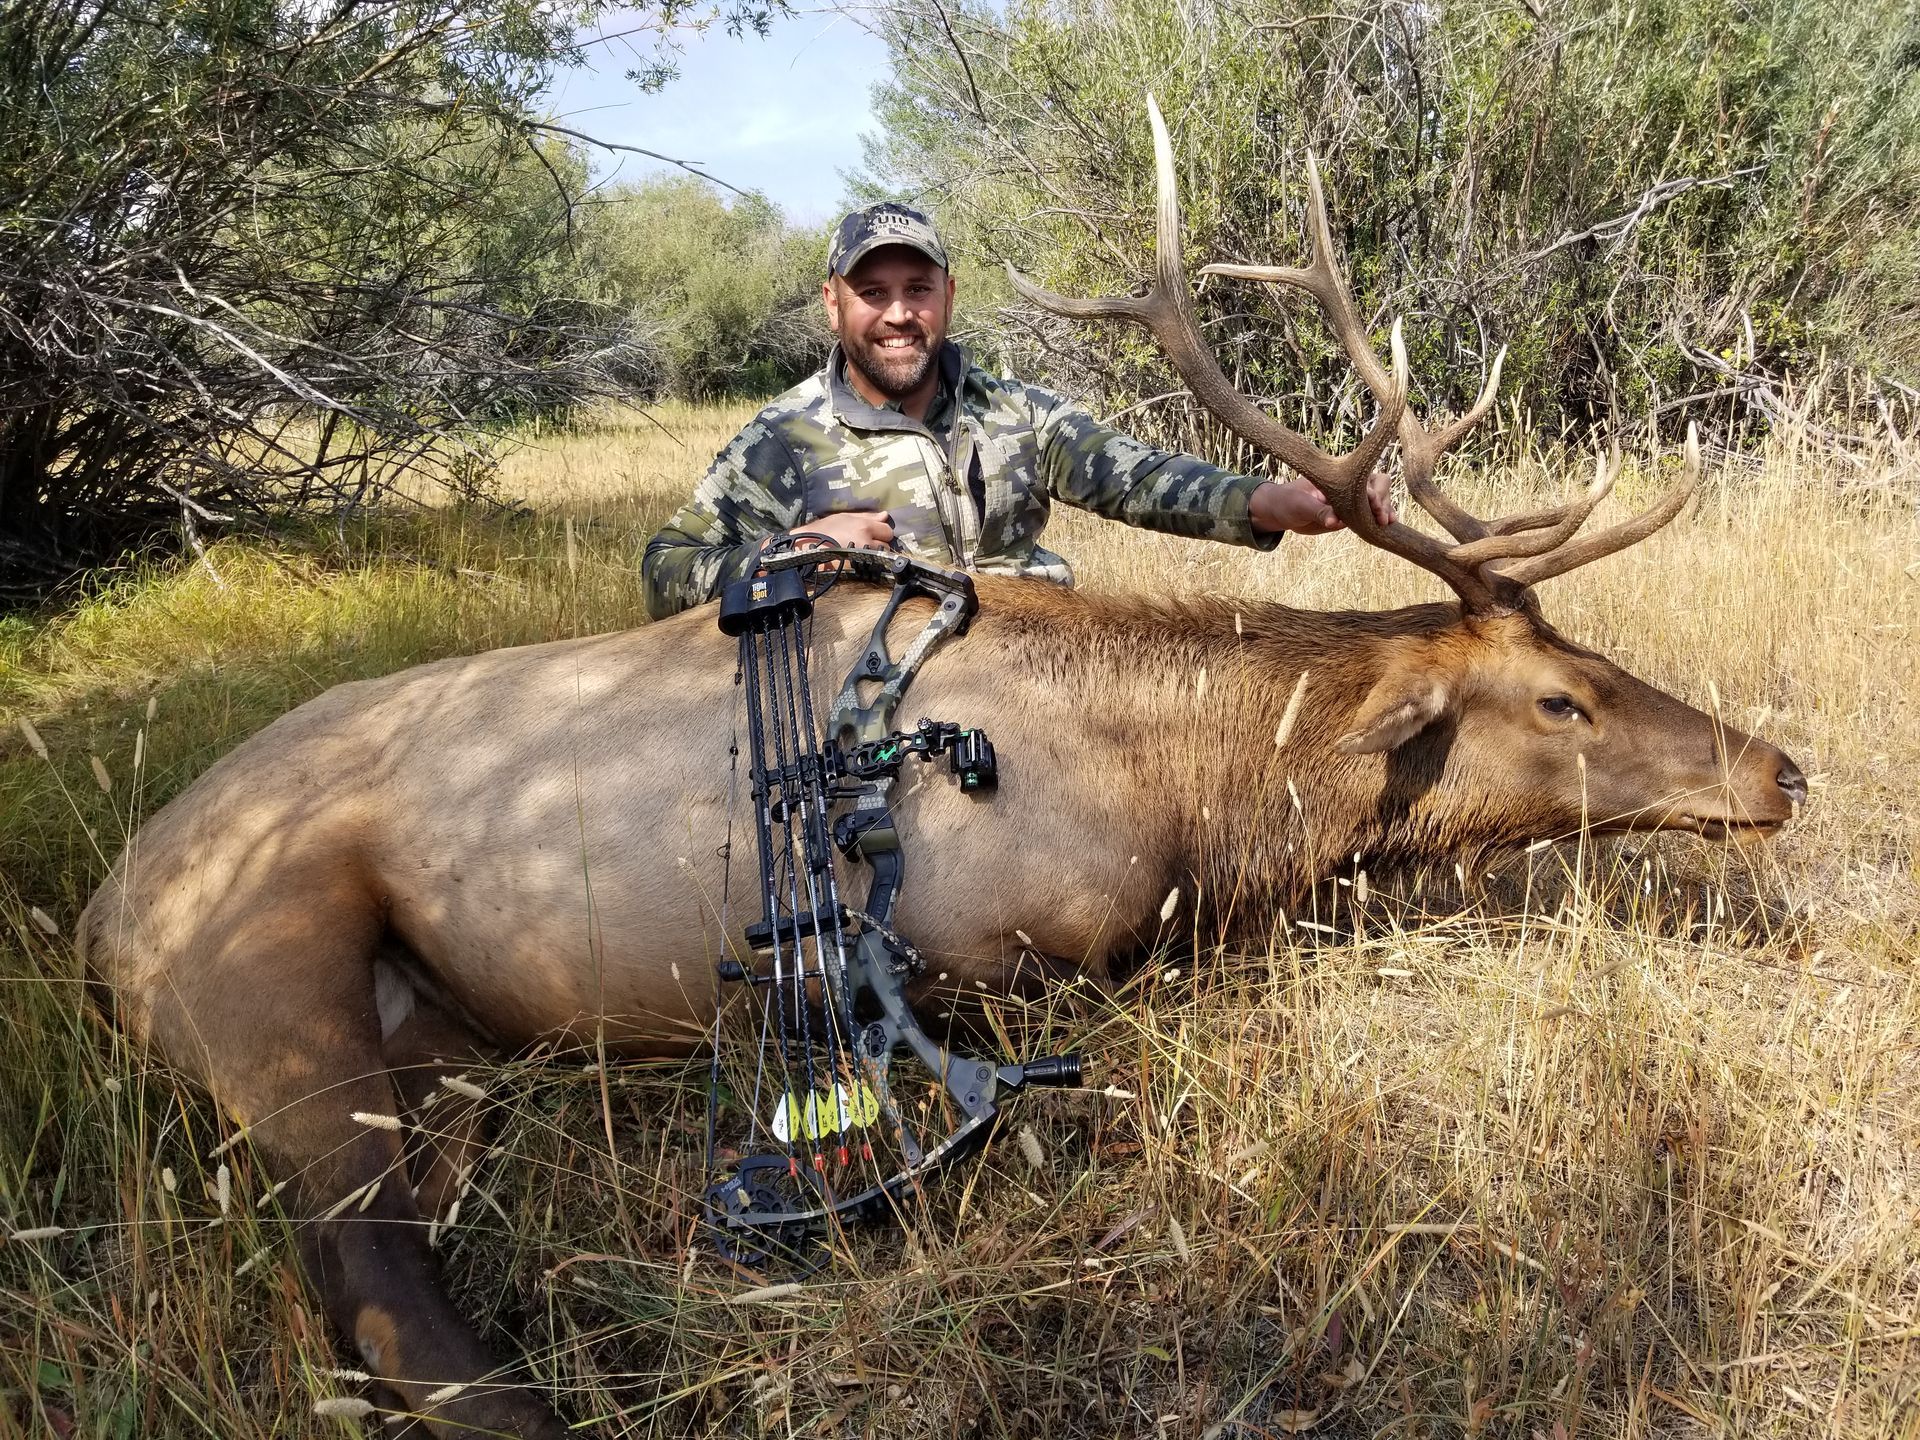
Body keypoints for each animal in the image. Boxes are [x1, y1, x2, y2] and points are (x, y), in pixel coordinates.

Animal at [78, 98, 1804, 1438]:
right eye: (1561, 697)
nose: (1781, 770)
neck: (1197, 797)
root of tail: (102, 915)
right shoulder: (1008, 956)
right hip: (272, 981)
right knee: (376, 1286)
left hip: (440, 1053)